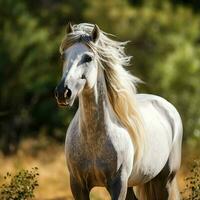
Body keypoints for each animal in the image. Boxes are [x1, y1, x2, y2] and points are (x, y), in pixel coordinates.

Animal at [54, 23, 183, 200]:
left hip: (165, 181)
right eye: (63, 56)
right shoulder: (78, 185)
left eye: (88, 58)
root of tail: (167, 106)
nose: (63, 93)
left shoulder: (118, 183)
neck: (93, 139)